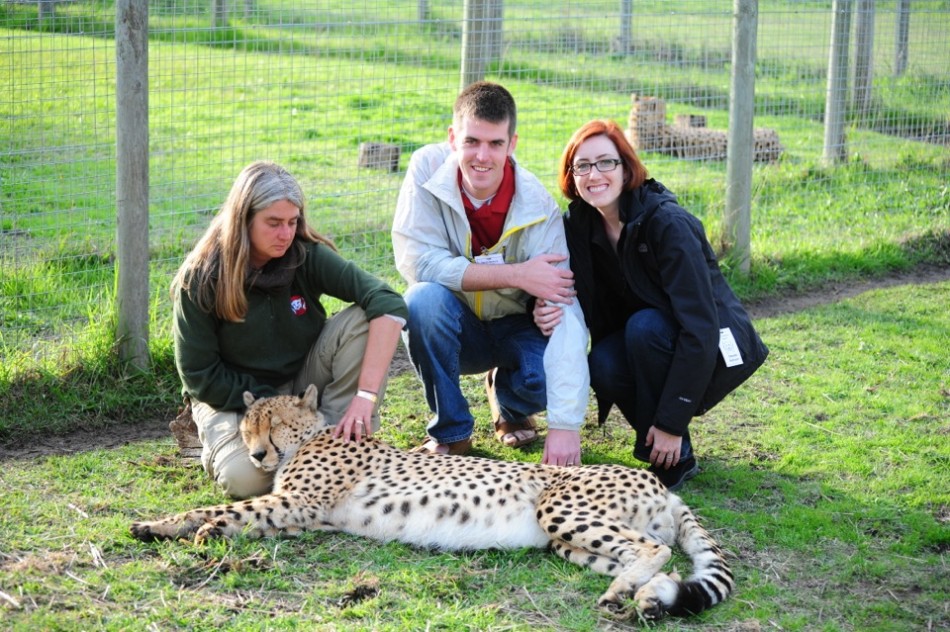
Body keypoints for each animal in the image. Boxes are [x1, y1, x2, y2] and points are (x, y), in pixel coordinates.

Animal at [131, 384, 734, 620]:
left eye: (273, 423)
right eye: (248, 426)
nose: (256, 453)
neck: (310, 439)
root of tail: (660, 485)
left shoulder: (298, 505)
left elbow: (226, 512)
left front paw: (186, 529)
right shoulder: (304, 516)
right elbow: (230, 515)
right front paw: (159, 527)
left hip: (559, 509)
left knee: (654, 550)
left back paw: (624, 596)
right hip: (569, 544)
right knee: (660, 561)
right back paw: (640, 597)